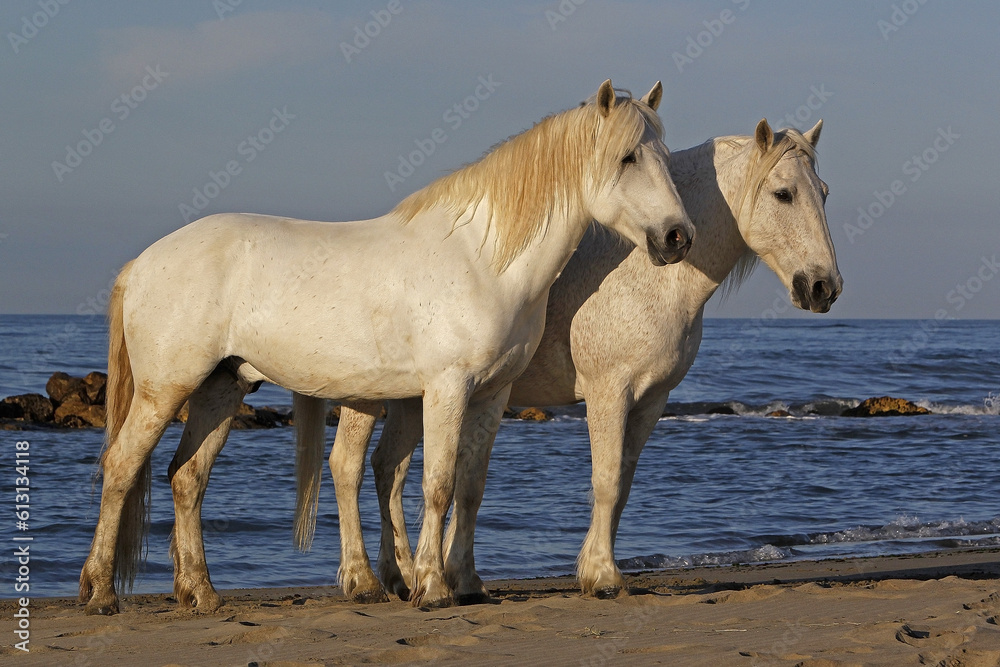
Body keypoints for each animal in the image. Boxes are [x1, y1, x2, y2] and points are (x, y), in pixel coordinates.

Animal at [80, 79, 696, 616]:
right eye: (626, 158)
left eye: (664, 157)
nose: (677, 237)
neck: (482, 260)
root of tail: (143, 263)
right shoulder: (447, 388)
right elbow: (438, 484)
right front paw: (433, 588)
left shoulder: (493, 394)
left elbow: (470, 486)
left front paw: (467, 584)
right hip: (165, 389)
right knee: (122, 467)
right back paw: (102, 593)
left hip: (221, 389)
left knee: (187, 479)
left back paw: (201, 594)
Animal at [326, 118, 836, 604]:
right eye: (783, 193)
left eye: (824, 192)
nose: (823, 287)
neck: (646, 274)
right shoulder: (609, 392)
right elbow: (605, 480)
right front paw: (604, 576)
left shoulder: (651, 401)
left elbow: (622, 486)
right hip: (369, 395)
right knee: (349, 467)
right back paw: (363, 581)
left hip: (411, 398)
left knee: (387, 470)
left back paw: (401, 576)